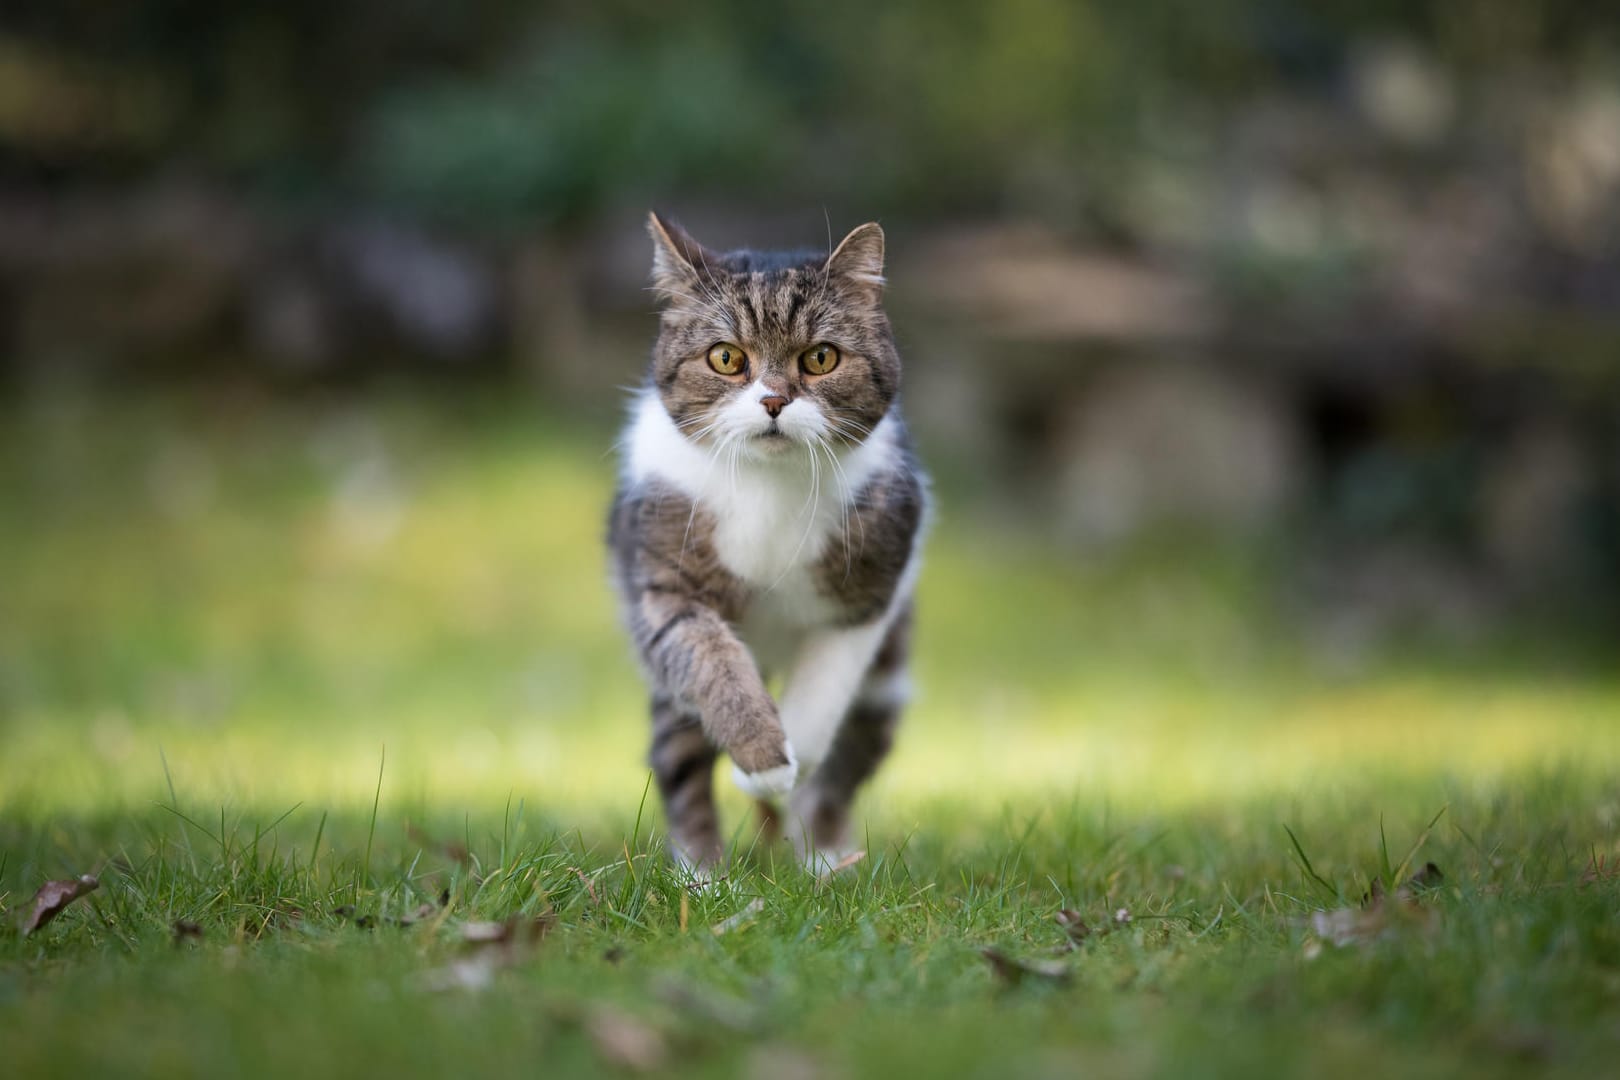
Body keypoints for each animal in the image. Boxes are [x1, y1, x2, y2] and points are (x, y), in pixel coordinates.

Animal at [609, 215, 933, 874]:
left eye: (821, 357)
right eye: (727, 357)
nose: (774, 400)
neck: (769, 484)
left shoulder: (872, 591)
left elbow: (822, 695)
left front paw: (785, 762)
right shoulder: (663, 585)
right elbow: (710, 659)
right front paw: (760, 757)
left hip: (884, 685)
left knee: (844, 765)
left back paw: (824, 860)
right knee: (679, 760)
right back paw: (703, 876)